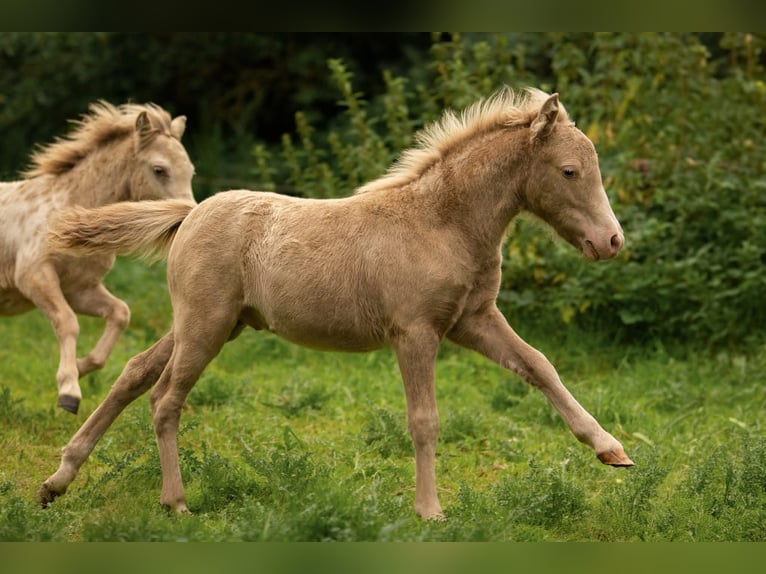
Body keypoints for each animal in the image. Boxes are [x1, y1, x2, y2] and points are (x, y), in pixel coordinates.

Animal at [0, 101, 195, 414]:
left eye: (189, 171)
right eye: (159, 169)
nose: (189, 217)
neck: (65, 210)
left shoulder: (79, 288)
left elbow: (120, 314)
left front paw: (78, 369)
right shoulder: (34, 277)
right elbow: (67, 321)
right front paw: (69, 392)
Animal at [39, 88, 633, 520]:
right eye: (569, 171)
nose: (611, 241)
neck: (443, 222)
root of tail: (190, 214)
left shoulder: (473, 320)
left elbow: (539, 366)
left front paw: (611, 449)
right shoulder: (416, 332)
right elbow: (424, 419)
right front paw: (430, 510)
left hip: (214, 324)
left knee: (134, 374)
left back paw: (58, 480)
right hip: (205, 326)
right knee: (164, 399)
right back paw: (176, 502)